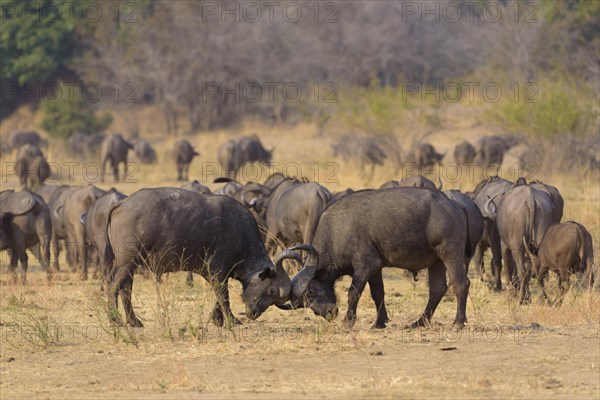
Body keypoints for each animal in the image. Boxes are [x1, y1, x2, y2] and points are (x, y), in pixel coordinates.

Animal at [105, 189, 298, 326]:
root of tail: (122, 203)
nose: (254, 314)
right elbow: (223, 295)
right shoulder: (218, 271)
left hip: (129, 264)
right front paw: (231, 320)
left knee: (125, 289)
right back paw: (115, 320)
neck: (240, 233)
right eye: (272, 290)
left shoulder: (218, 274)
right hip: (128, 261)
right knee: (114, 286)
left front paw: (217, 319)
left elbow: (219, 298)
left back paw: (133, 321)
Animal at [278, 189, 472, 330]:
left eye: (310, 292)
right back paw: (419, 322)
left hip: (449, 252)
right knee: (438, 289)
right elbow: (378, 293)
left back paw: (458, 322)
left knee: (461, 283)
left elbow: (353, 292)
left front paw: (348, 321)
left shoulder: (365, 266)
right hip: (436, 261)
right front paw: (379, 322)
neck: (337, 231)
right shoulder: (376, 269)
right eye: (304, 303)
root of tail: (454, 205)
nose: (329, 313)